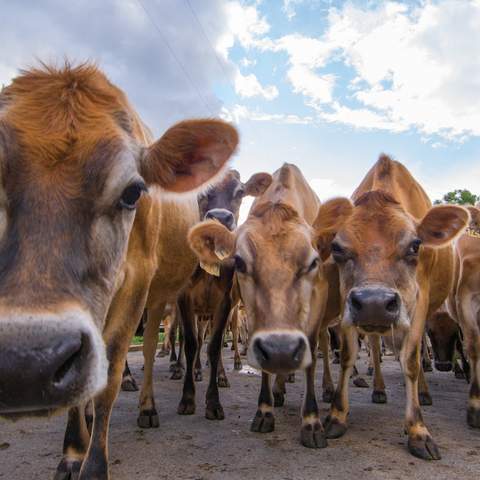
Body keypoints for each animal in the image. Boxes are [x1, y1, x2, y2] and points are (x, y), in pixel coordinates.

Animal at [0, 61, 238, 480]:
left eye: (133, 192)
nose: (24, 364)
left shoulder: (138, 284)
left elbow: (110, 373)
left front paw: (93, 464)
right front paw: (72, 452)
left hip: (159, 297)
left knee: (150, 352)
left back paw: (147, 405)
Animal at [188, 163, 334, 448]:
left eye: (313, 263)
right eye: (240, 262)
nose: (281, 350)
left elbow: (311, 353)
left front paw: (311, 420)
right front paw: (264, 410)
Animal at [318, 156, 468, 460]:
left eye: (415, 245)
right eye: (337, 248)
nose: (374, 303)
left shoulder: (419, 302)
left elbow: (410, 360)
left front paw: (417, 430)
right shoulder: (348, 303)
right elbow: (349, 355)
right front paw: (337, 415)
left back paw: (423, 392)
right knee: (375, 349)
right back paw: (379, 388)